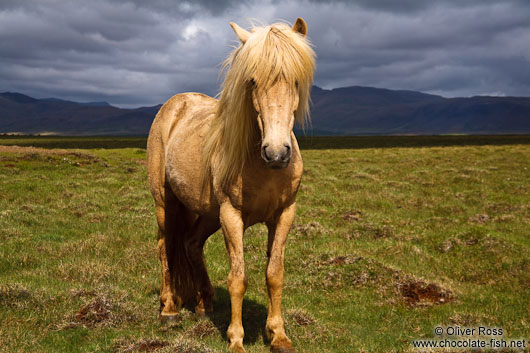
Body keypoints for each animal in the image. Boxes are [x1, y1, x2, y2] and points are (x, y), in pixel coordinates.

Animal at [146, 17, 314, 352]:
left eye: (296, 81)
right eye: (252, 81)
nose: (277, 153)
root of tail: (173, 104)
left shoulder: (284, 215)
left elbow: (275, 274)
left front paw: (279, 335)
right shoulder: (231, 216)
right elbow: (238, 278)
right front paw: (236, 339)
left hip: (206, 214)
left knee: (191, 244)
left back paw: (204, 304)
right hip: (166, 205)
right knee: (165, 247)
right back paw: (169, 309)